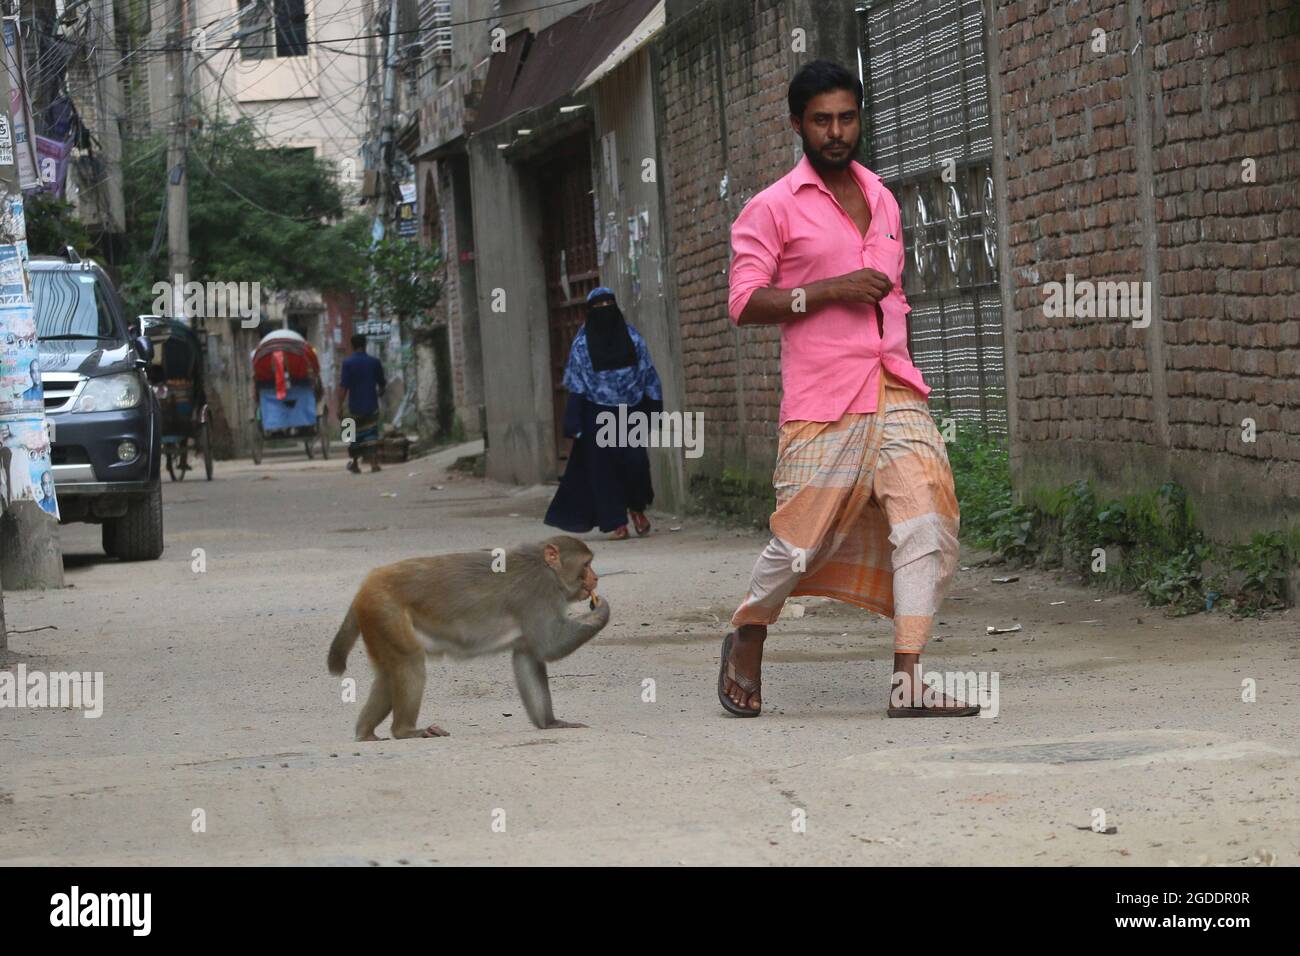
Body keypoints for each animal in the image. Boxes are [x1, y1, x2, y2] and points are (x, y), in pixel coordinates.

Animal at [325, 535, 608, 743]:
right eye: (586, 565)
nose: (596, 578)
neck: (547, 569)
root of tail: (366, 584)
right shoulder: (539, 594)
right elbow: (549, 646)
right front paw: (601, 612)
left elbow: (528, 655)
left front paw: (550, 723)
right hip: (385, 609)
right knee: (410, 662)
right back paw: (404, 730)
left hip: (377, 619)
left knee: (387, 674)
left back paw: (365, 733)